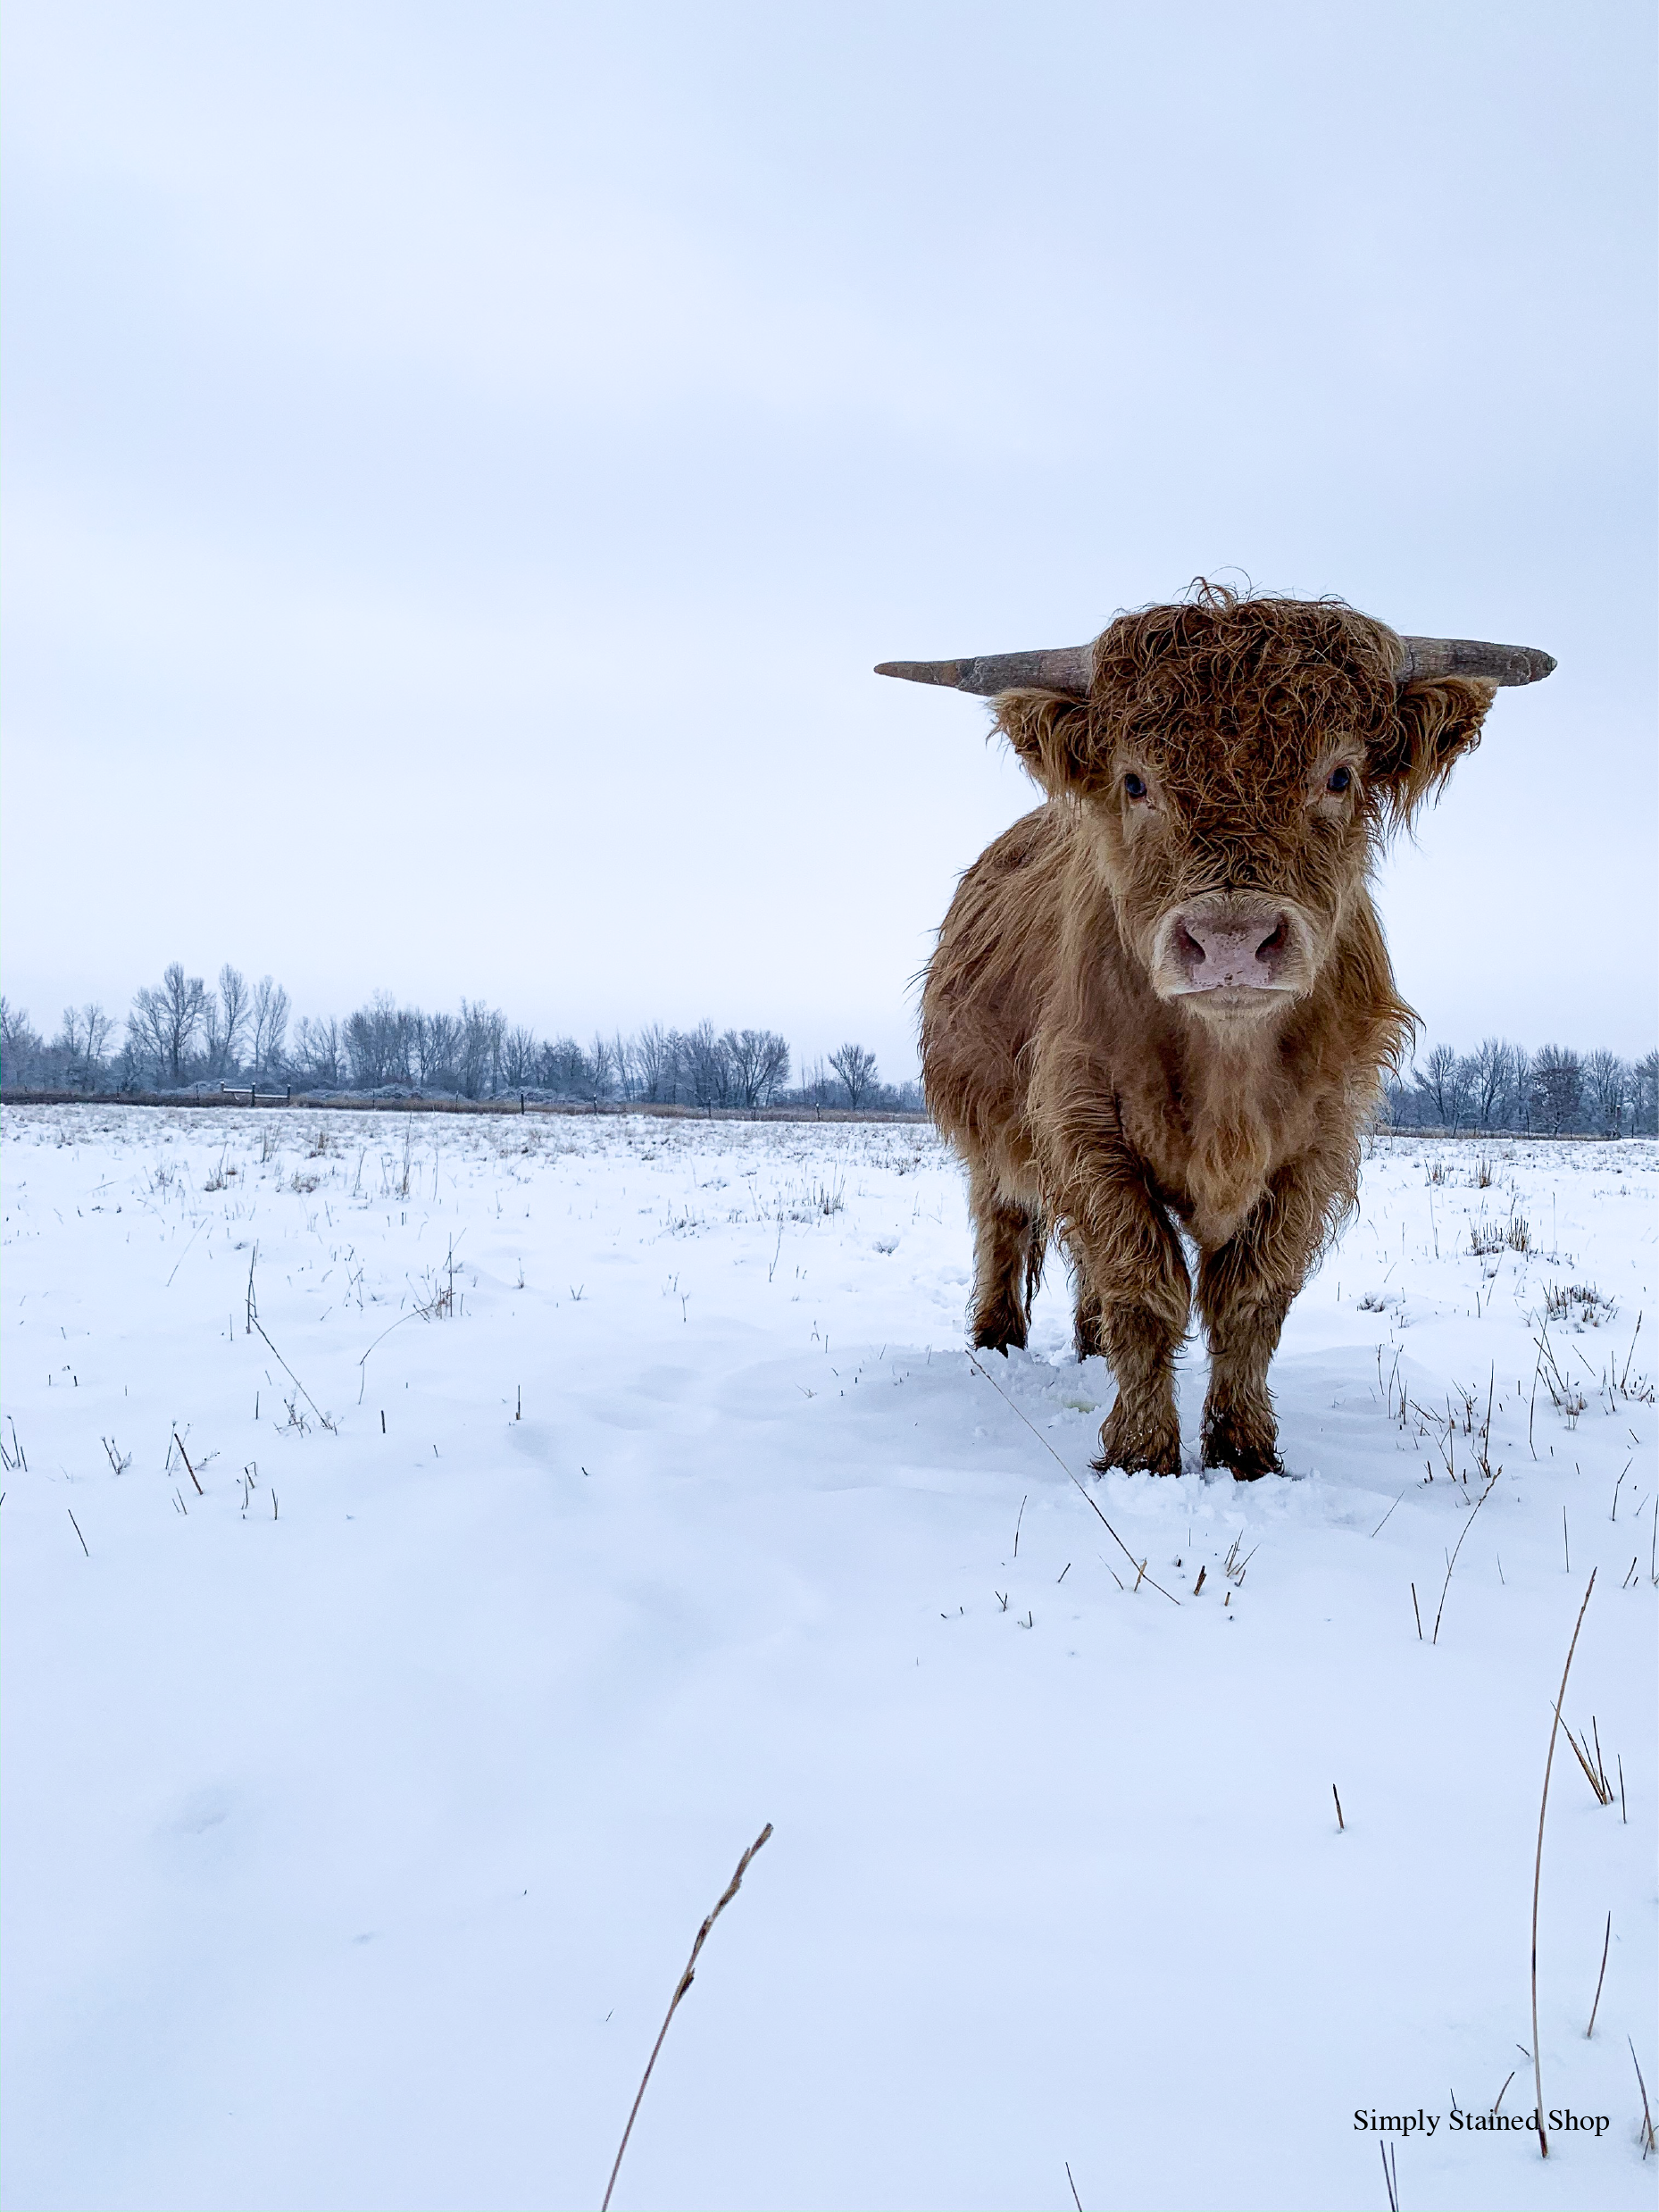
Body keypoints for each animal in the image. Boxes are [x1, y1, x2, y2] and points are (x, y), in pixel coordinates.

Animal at [880, 587, 1554, 1479]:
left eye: (1339, 774)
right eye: (1135, 780)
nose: (1231, 939)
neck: (1225, 1074)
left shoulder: (1319, 1141)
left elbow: (1251, 1298)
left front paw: (1244, 1450)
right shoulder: (1085, 1120)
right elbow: (1142, 1281)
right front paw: (1143, 1452)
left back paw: (1089, 1345)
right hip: (994, 1132)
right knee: (1005, 1218)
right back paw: (997, 1339)